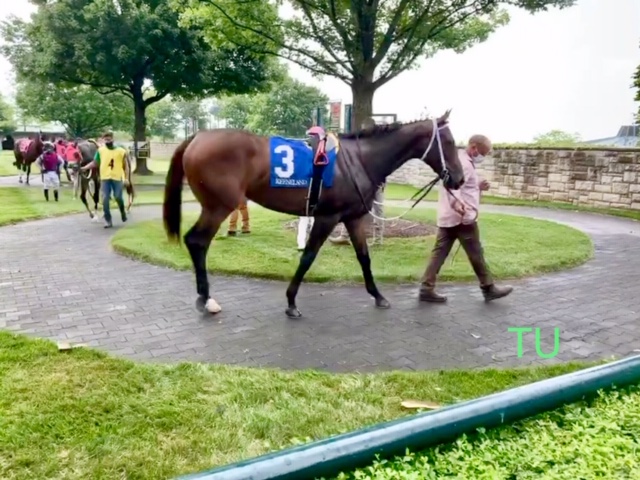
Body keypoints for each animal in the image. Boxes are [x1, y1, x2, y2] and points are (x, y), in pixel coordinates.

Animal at [164, 110, 464, 316]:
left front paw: (378, 296)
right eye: (449, 143)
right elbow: (308, 257)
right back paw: (206, 300)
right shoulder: (327, 217)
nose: (459, 179)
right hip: (218, 206)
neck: (359, 160)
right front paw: (291, 302)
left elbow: (364, 257)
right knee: (197, 241)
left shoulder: (352, 217)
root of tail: (197, 136)